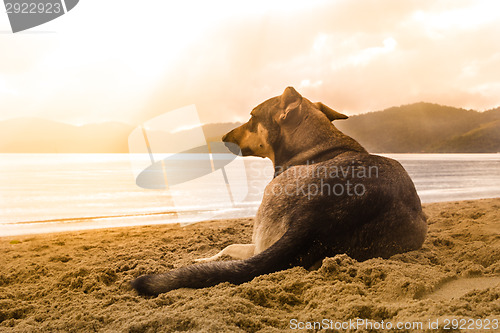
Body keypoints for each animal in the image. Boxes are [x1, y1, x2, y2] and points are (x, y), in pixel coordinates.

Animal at [130, 87, 426, 294]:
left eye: (252, 117)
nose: (223, 137)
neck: (318, 144)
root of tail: (322, 215)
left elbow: (227, 247)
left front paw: (203, 258)